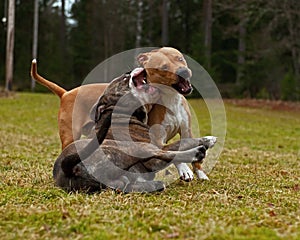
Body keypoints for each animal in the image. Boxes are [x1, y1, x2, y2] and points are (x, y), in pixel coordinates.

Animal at [31, 47, 209, 180]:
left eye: (180, 58)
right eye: (164, 68)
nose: (183, 71)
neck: (170, 98)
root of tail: (66, 93)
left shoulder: (186, 130)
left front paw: (200, 173)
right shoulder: (158, 138)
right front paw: (184, 169)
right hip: (70, 136)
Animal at [52, 68, 216, 193]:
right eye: (125, 78)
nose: (129, 70)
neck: (121, 114)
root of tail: (68, 169)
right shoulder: (155, 149)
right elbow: (182, 143)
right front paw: (207, 140)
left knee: (124, 186)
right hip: (138, 148)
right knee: (168, 154)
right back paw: (198, 152)